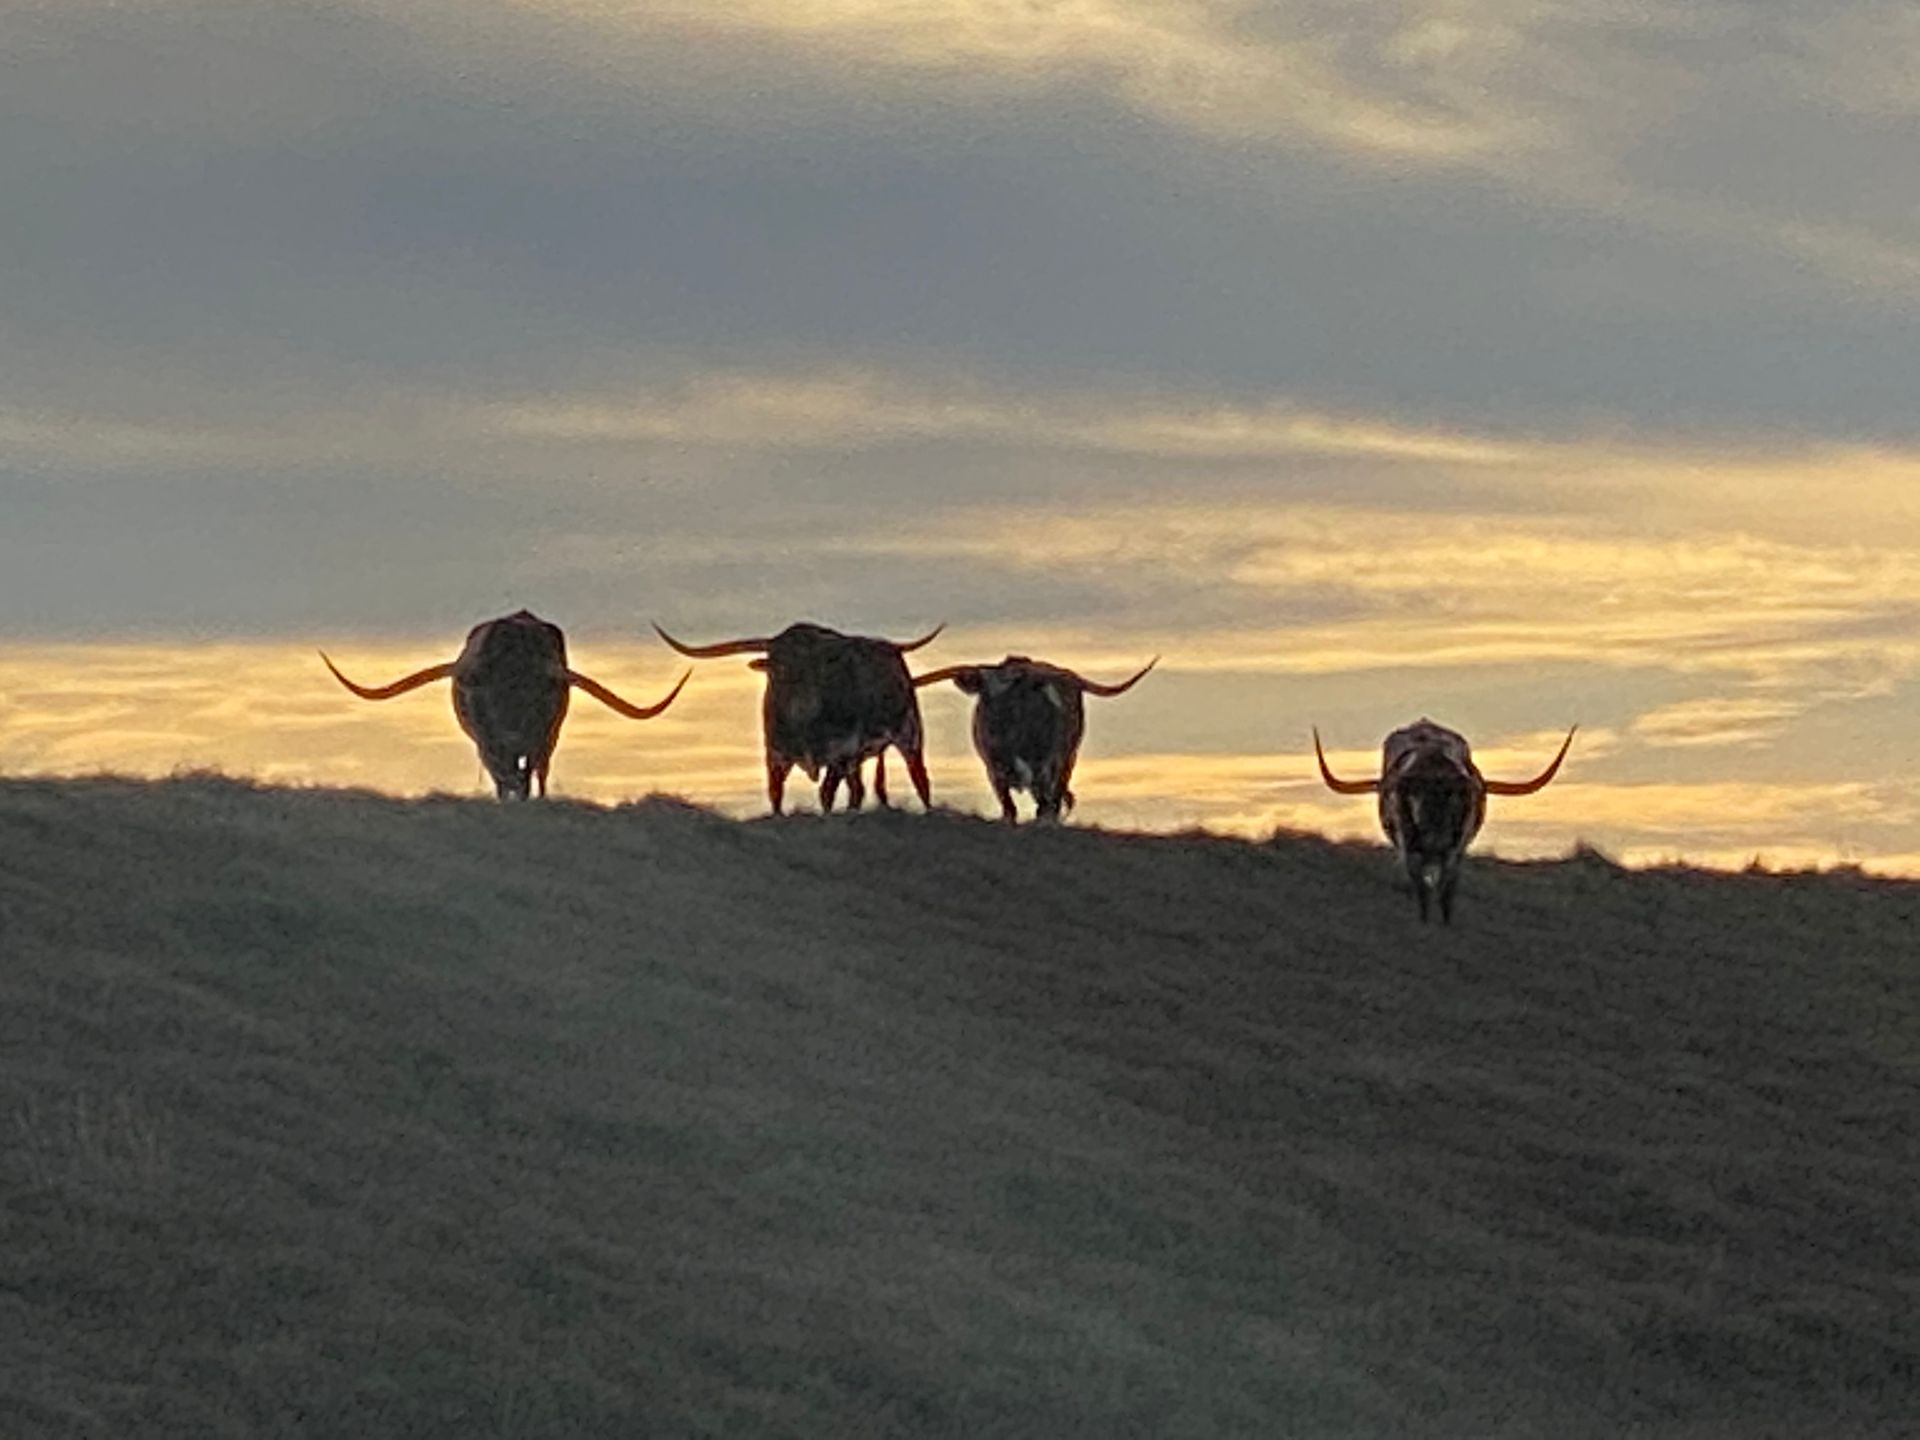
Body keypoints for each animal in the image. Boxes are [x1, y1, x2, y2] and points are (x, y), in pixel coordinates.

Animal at [321, 609, 689, 800]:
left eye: (532, 696)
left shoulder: (541, 738)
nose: (513, 737)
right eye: (492, 696)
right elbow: (502, 777)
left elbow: (530, 775)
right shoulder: (489, 743)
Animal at [652, 620, 943, 814]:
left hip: (908, 736)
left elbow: (826, 795)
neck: (803, 725)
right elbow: (775, 794)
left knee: (919, 779)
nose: (800, 695)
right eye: (780, 665)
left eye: (813, 665)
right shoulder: (775, 756)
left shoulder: (840, 754)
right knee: (857, 790)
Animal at [1313, 717, 1576, 924]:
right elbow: (1425, 887)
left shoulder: (1452, 849)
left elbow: (1444, 887)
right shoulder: (1413, 848)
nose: (1432, 830)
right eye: (1415, 793)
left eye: (1450, 795)